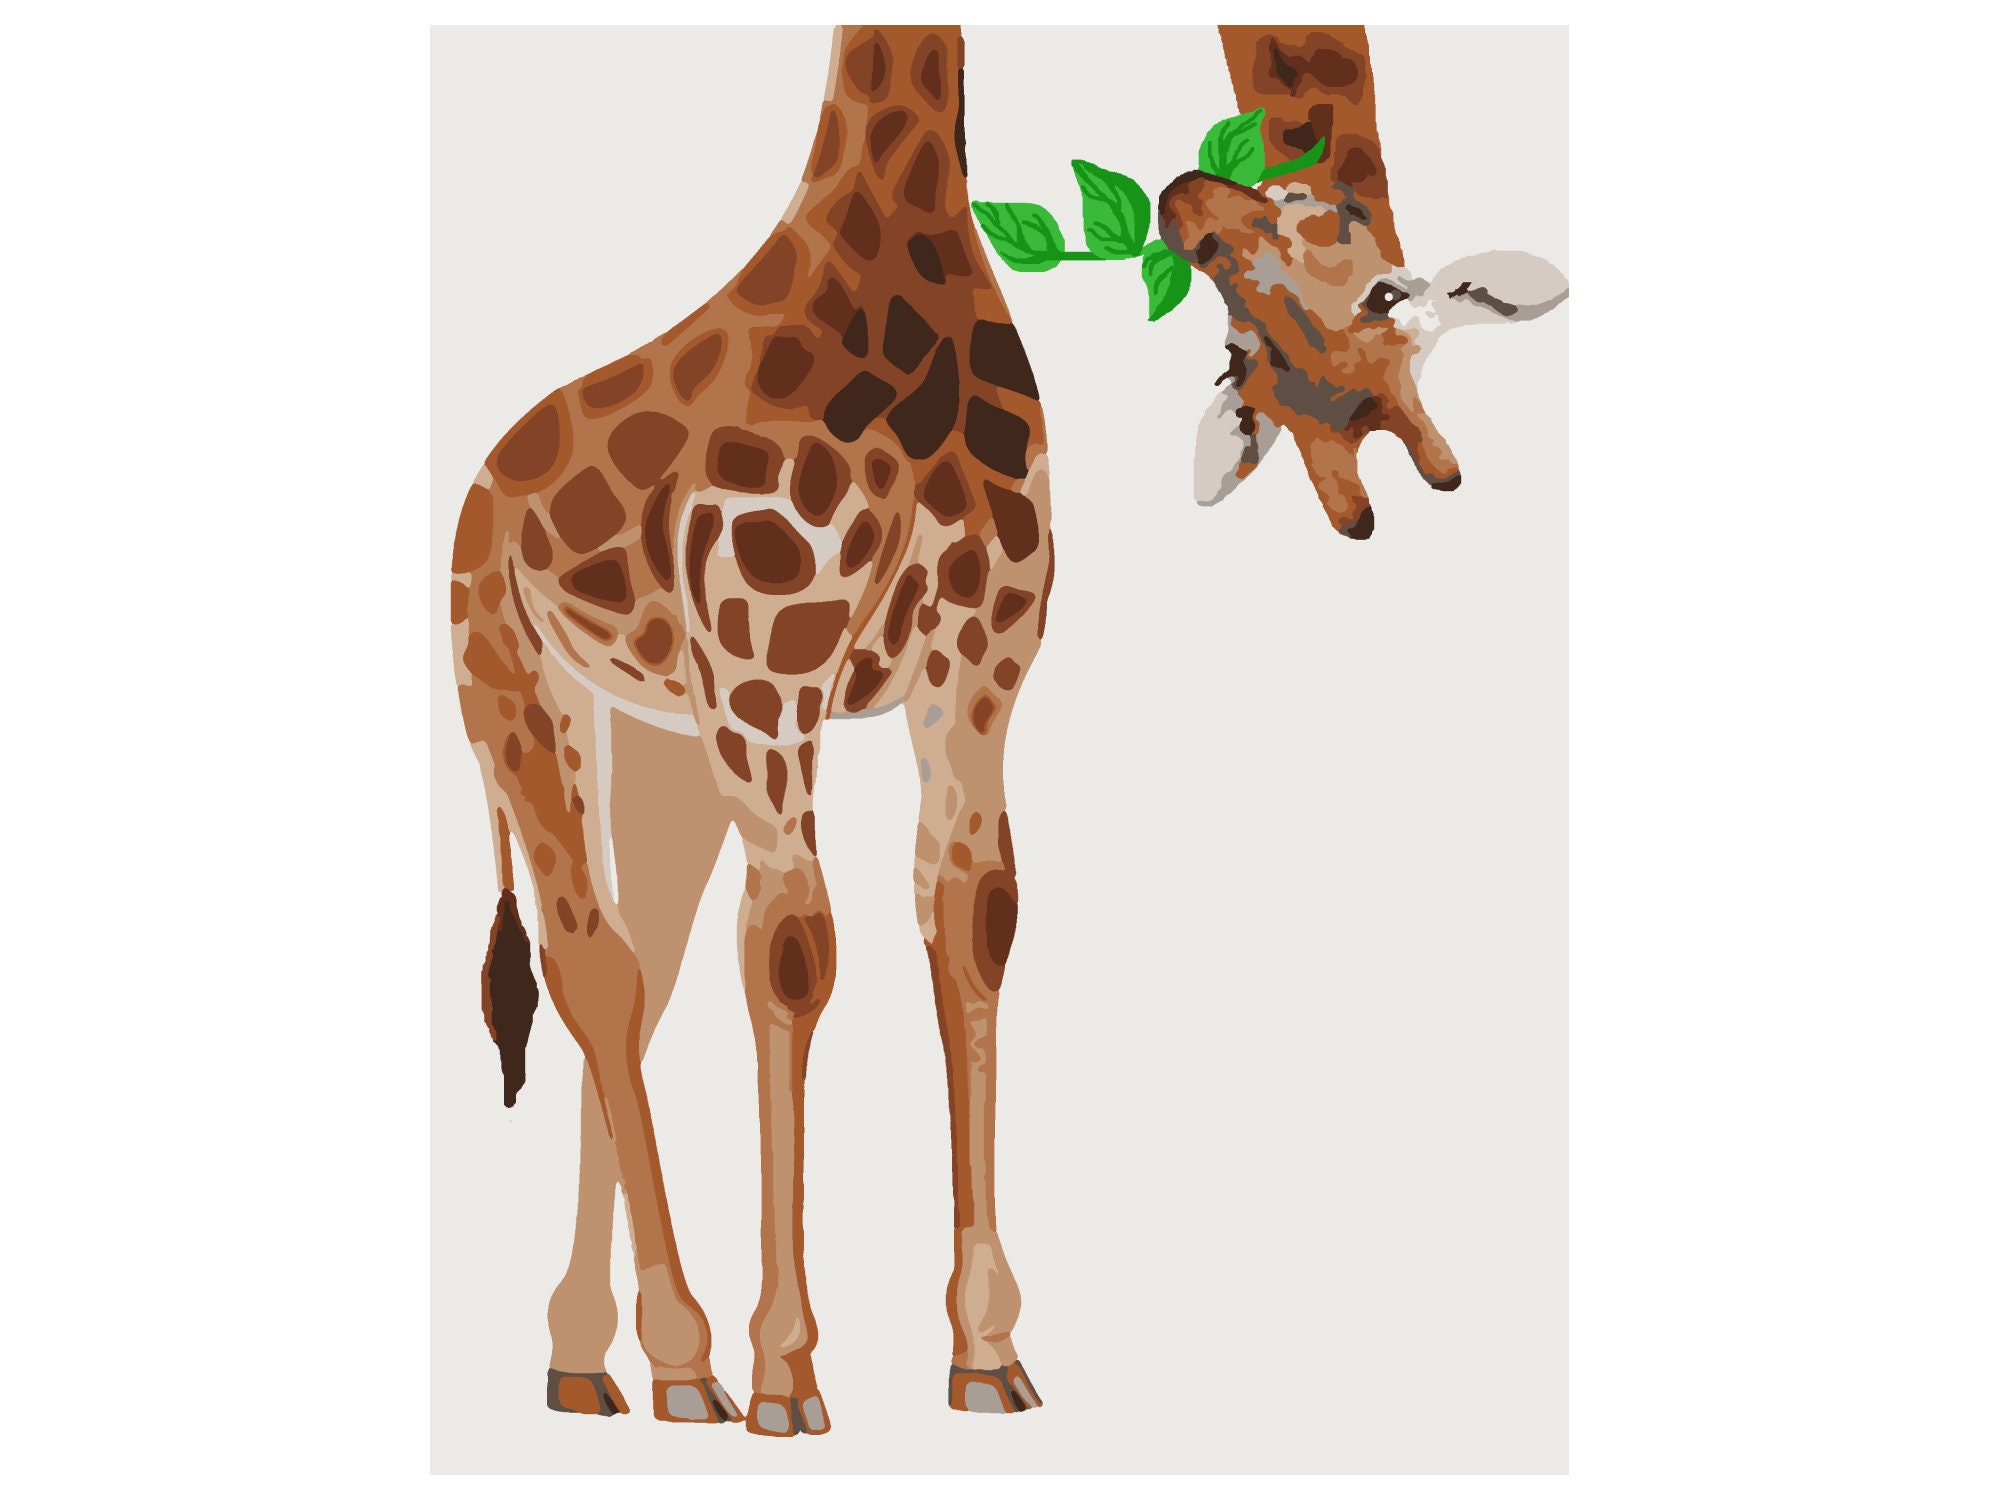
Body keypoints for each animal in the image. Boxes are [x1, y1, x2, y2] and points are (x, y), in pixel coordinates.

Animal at [450, 25, 1049, 1436]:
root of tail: (480, 489)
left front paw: (985, 1353)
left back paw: (597, 1360)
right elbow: (792, 954)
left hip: (662, 743)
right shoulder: (772, 685)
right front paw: (788, 1369)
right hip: (514, 691)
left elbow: (972, 923)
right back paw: (679, 1359)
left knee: (637, 968)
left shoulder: (978, 674)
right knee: (594, 967)